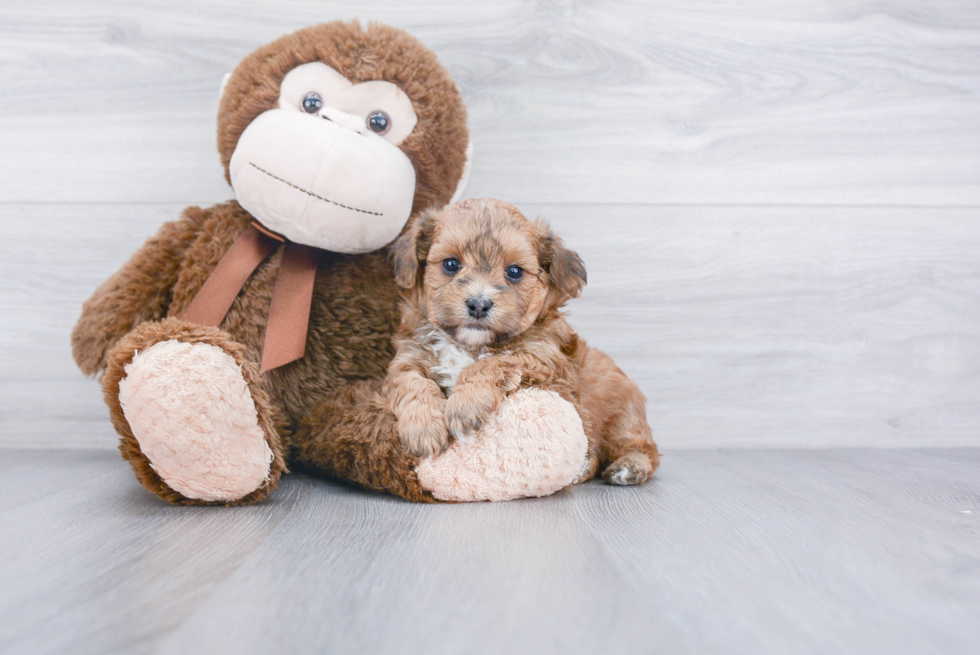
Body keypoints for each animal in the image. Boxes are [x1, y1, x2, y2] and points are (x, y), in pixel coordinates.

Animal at [382, 197, 660, 484]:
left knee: (643, 448)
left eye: (514, 271)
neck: (469, 345)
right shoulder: (408, 357)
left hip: (622, 418)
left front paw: (465, 405)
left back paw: (629, 466)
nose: (478, 304)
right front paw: (423, 427)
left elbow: (491, 363)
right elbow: (412, 383)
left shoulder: (545, 361)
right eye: (450, 264)